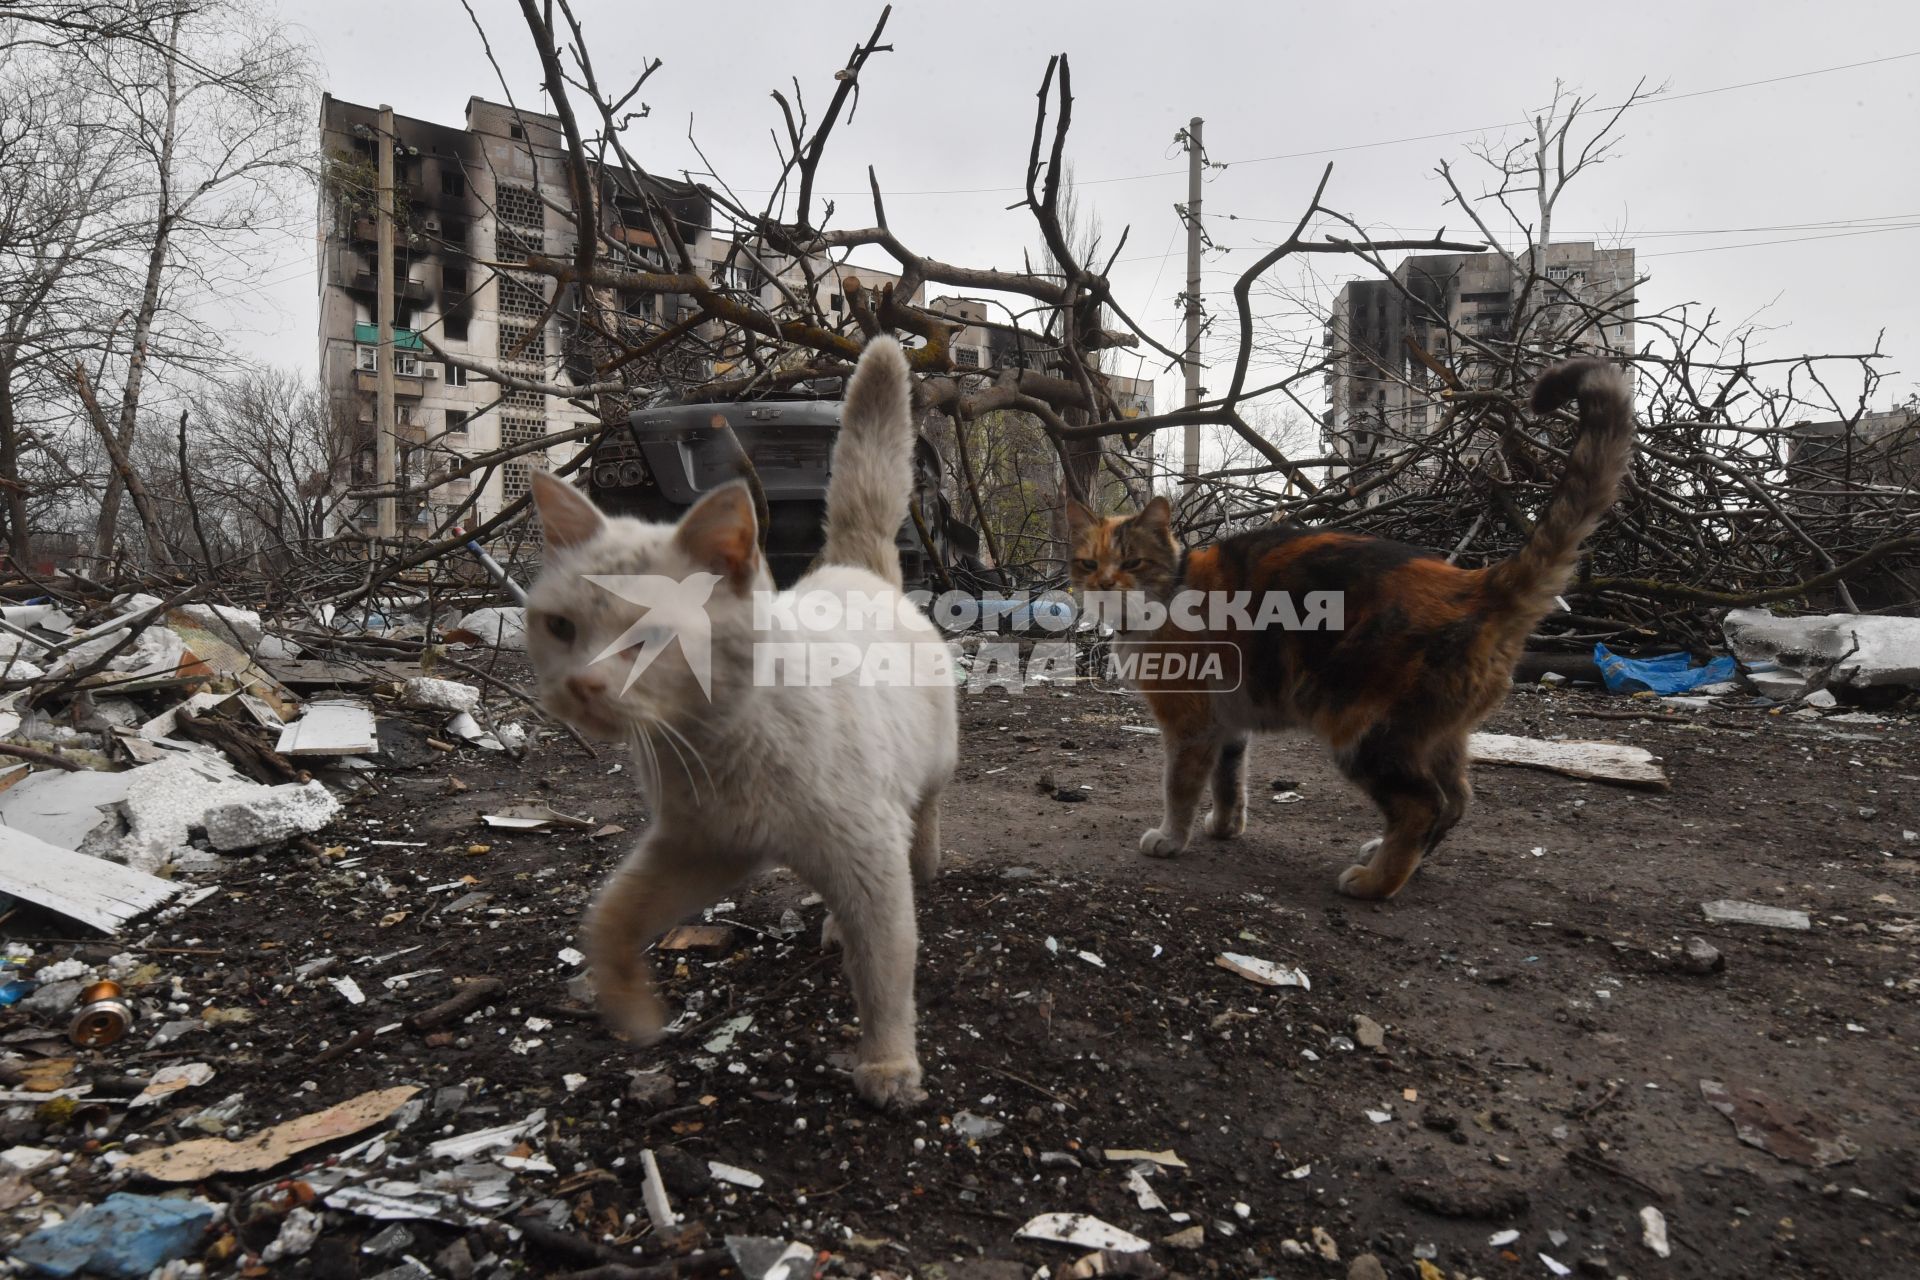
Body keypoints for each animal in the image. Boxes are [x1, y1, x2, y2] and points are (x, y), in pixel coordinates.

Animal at [522, 339, 956, 1113]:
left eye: (653, 637)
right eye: (563, 628)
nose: (582, 684)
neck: (715, 743)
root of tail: (854, 569)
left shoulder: (866, 854)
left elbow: (886, 973)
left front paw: (888, 1065)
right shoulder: (700, 847)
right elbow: (610, 917)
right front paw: (633, 1011)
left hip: (927, 771)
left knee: (925, 812)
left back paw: (922, 863)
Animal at [1075, 360, 1628, 901]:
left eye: (1132, 562)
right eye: (1086, 564)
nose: (1103, 583)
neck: (1167, 594)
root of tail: (1474, 582)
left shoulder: (1190, 724)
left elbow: (1181, 786)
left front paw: (1171, 838)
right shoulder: (1228, 724)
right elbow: (1228, 780)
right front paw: (1225, 827)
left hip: (1362, 731)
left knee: (1422, 804)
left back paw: (1375, 883)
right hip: (1435, 735)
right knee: (1455, 799)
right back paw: (1395, 860)